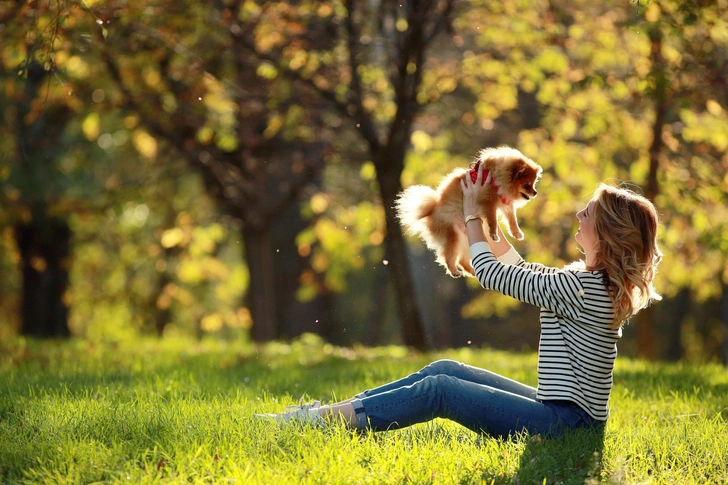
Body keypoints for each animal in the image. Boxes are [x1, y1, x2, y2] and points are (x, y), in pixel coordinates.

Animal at [392, 146, 540, 276]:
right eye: (526, 184)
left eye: (533, 184)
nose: (535, 192)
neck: (496, 176)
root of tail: (431, 211)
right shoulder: (488, 202)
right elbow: (492, 220)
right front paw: (494, 234)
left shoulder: (504, 202)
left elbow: (512, 219)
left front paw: (516, 233)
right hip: (452, 236)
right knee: (448, 257)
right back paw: (454, 271)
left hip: (464, 239)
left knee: (462, 260)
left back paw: (473, 272)